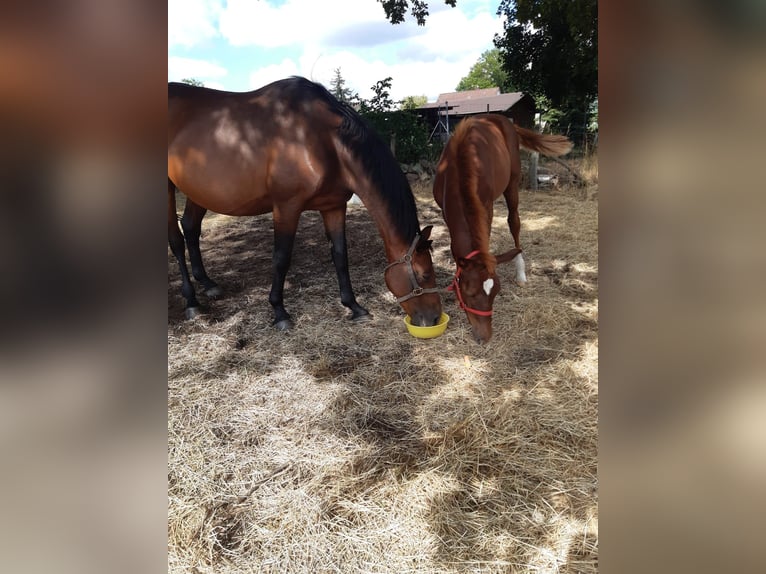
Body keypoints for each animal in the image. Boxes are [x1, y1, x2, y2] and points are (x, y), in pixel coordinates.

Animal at [168, 77, 442, 329]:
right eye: (425, 274)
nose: (434, 318)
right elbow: (281, 258)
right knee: (176, 241)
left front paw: (354, 306)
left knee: (190, 228)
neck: (320, 138)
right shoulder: (286, 207)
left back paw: (208, 285)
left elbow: (340, 255)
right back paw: (192, 302)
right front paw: (280, 312)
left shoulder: (333, 206)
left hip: (198, 191)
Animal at [433, 114, 572, 343]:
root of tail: (501, 119)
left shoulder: (486, 207)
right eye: (469, 293)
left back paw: (520, 272)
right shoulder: (445, 211)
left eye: (496, 292)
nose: (485, 336)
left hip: (512, 183)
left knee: (514, 222)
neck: (460, 167)